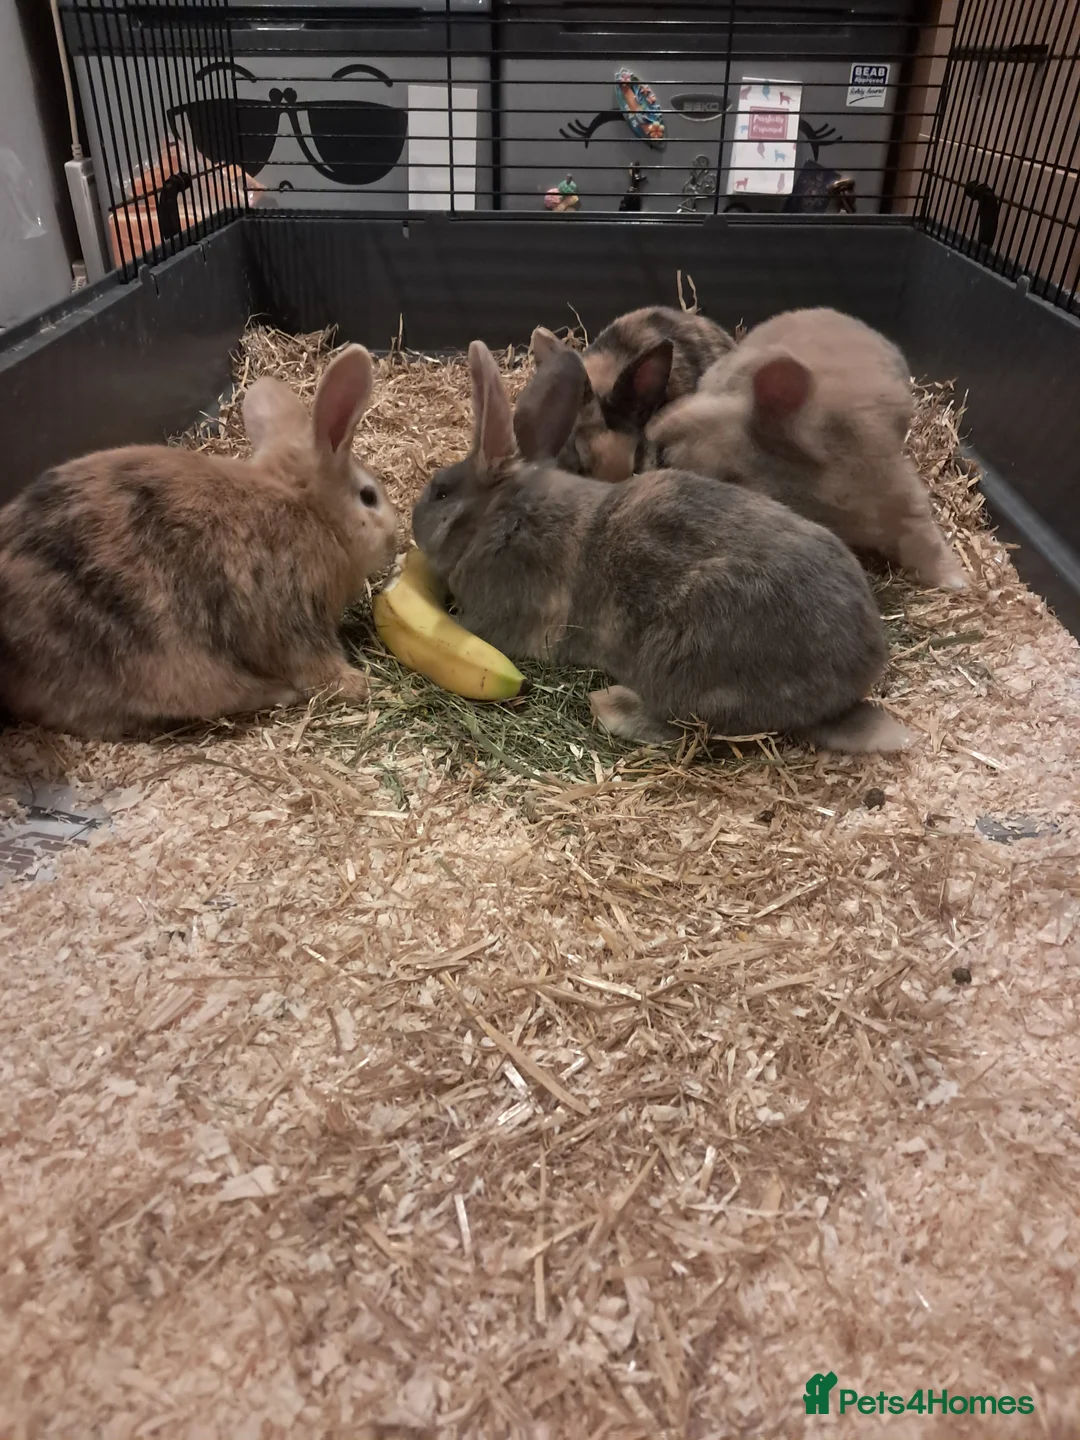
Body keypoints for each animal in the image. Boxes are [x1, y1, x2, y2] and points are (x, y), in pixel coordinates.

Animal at [0, 344, 397, 739]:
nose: (394, 541)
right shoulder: (295, 616)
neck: (310, 511)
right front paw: (359, 684)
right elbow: (316, 666)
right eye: (368, 497)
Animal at [411, 339, 911, 755]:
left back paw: (609, 705)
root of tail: (849, 688)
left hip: (681, 664)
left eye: (440, 492)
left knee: (693, 729)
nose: (414, 521)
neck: (500, 514)